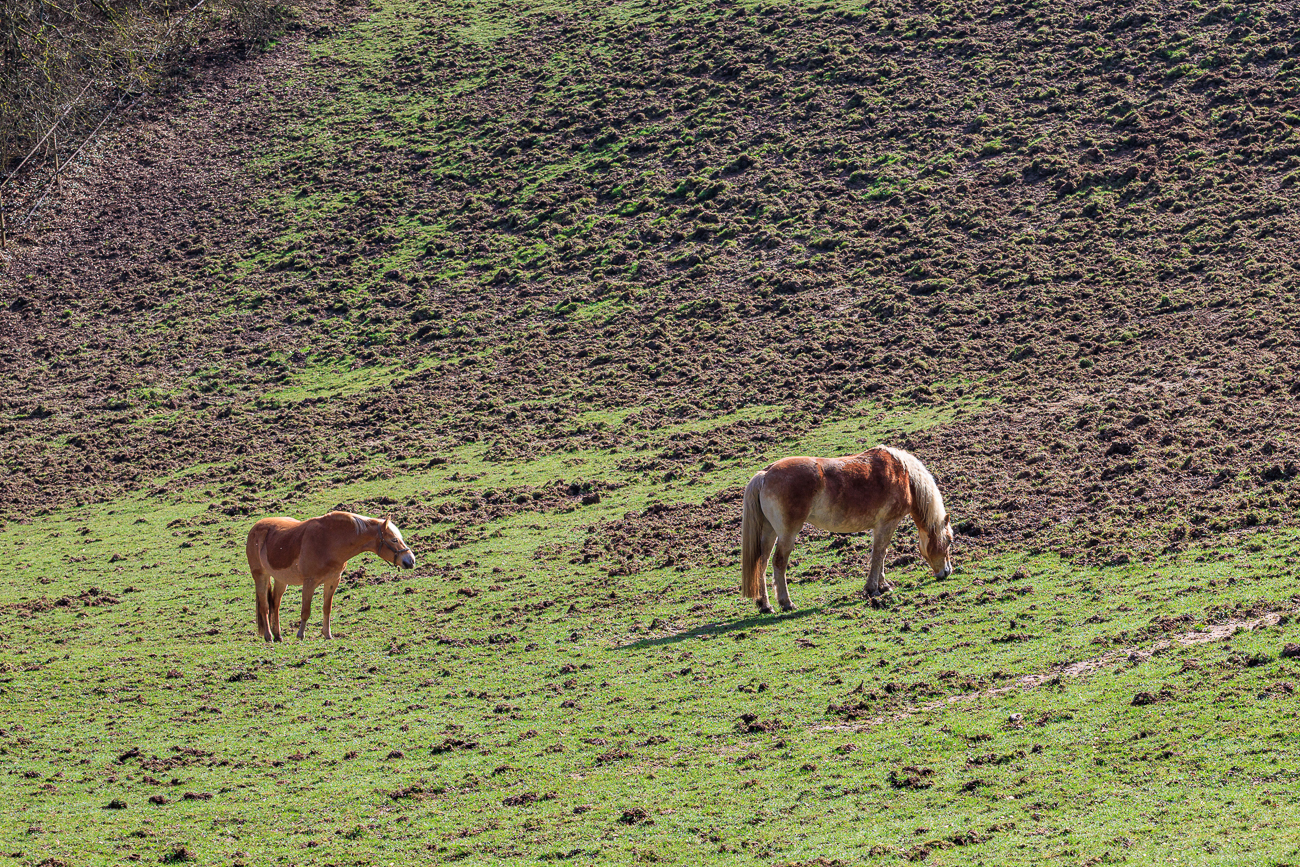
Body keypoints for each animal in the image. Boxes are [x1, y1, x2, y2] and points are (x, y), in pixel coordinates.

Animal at [245, 511, 415, 641]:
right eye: (394, 539)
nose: (410, 560)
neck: (329, 541)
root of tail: (255, 528)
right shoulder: (309, 582)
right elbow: (305, 610)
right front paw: (300, 634)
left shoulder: (333, 581)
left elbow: (327, 608)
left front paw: (327, 634)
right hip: (260, 576)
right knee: (265, 606)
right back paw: (269, 636)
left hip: (281, 580)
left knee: (275, 604)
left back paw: (278, 635)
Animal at [740, 445, 953, 612]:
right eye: (949, 541)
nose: (947, 572)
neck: (905, 475)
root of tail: (765, 474)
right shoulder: (887, 523)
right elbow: (879, 553)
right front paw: (873, 588)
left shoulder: (880, 526)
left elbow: (881, 554)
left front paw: (883, 585)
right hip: (787, 534)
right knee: (779, 562)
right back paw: (786, 603)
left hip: (769, 532)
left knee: (762, 563)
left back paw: (765, 605)